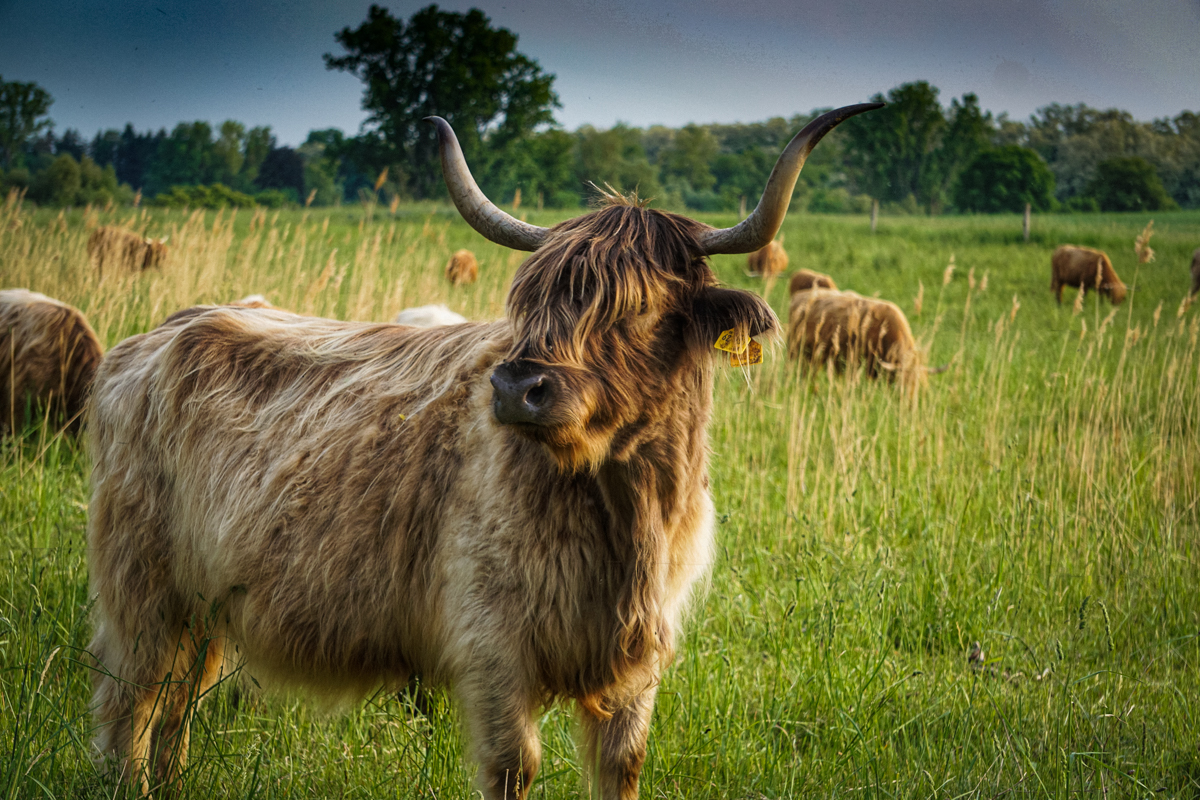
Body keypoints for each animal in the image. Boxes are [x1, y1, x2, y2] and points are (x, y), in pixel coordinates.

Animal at [86, 102, 881, 799]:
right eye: (529, 299)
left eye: (635, 306)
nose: (517, 387)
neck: (624, 511)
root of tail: (159, 334)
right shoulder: (492, 647)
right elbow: (512, 768)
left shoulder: (637, 666)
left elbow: (622, 767)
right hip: (142, 593)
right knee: (129, 709)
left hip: (205, 607)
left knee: (178, 708)